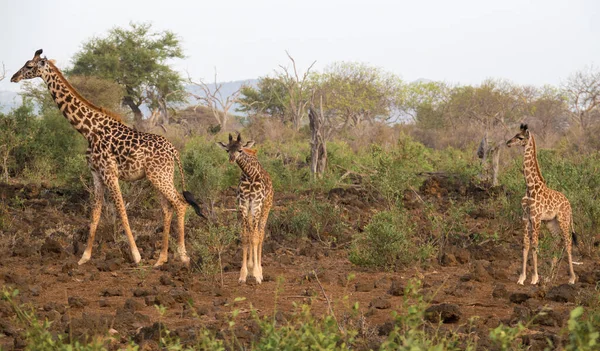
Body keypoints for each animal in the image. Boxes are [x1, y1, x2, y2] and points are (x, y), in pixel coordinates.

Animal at [11, 49, 204, 268]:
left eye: (28, 65)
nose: (13, 77)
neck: (88, 130)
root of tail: (174, 150)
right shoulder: (96, 174)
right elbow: (95, 214)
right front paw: (84, 257)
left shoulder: (110, 173)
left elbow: (121, 211)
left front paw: (136, 256)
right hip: (160, 176)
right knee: (167, 208)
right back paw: (161, 259)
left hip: (159, 176)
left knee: (180, 203)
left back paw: (183, 256)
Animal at [506, 124, 576, 286]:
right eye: (515, 134)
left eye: (520, 137)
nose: (508, 143)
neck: (530, 187)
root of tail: (569, 204)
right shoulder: (526, 218)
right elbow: (525, 245)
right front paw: (521, 278)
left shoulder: (536, 218)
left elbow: (535, 245)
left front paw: (534, 278)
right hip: (551, 222)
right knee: (557, 241)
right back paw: (550, 277)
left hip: (563, 219)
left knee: (568, 242)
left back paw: (572, 278)